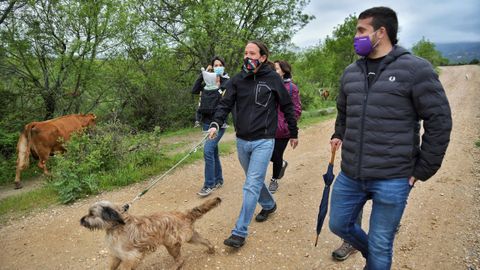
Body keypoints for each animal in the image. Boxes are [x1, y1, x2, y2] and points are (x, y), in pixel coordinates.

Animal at [80, 197, 221, 268]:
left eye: (91, 214)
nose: (81, 220)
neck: (117, 225)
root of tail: (183, 214)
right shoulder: (116, 255)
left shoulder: (131, 257)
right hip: (190, 237)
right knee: (206, 241)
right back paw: (211, 249)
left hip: (171, 244)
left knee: (180, 260)